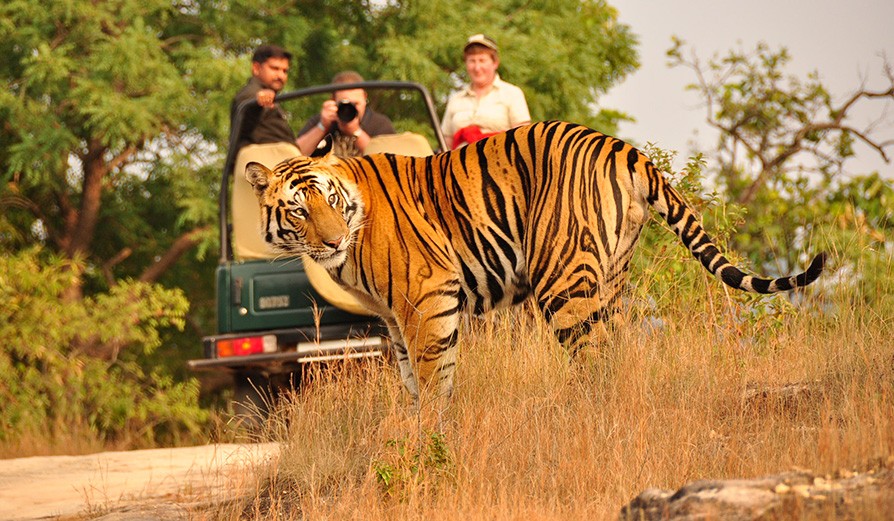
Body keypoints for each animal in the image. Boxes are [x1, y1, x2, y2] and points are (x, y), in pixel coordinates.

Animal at [243, 121, 824, 406]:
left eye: (329, 200)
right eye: (299, 209)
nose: (334, 240)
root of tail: (623, 147)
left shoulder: (428, 298)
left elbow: (433, 379)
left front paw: (430, 440)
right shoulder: (394, 318)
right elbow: (413, 379)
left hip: (563, 280)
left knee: (593, 360)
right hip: (611, 278)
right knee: (617, 352)